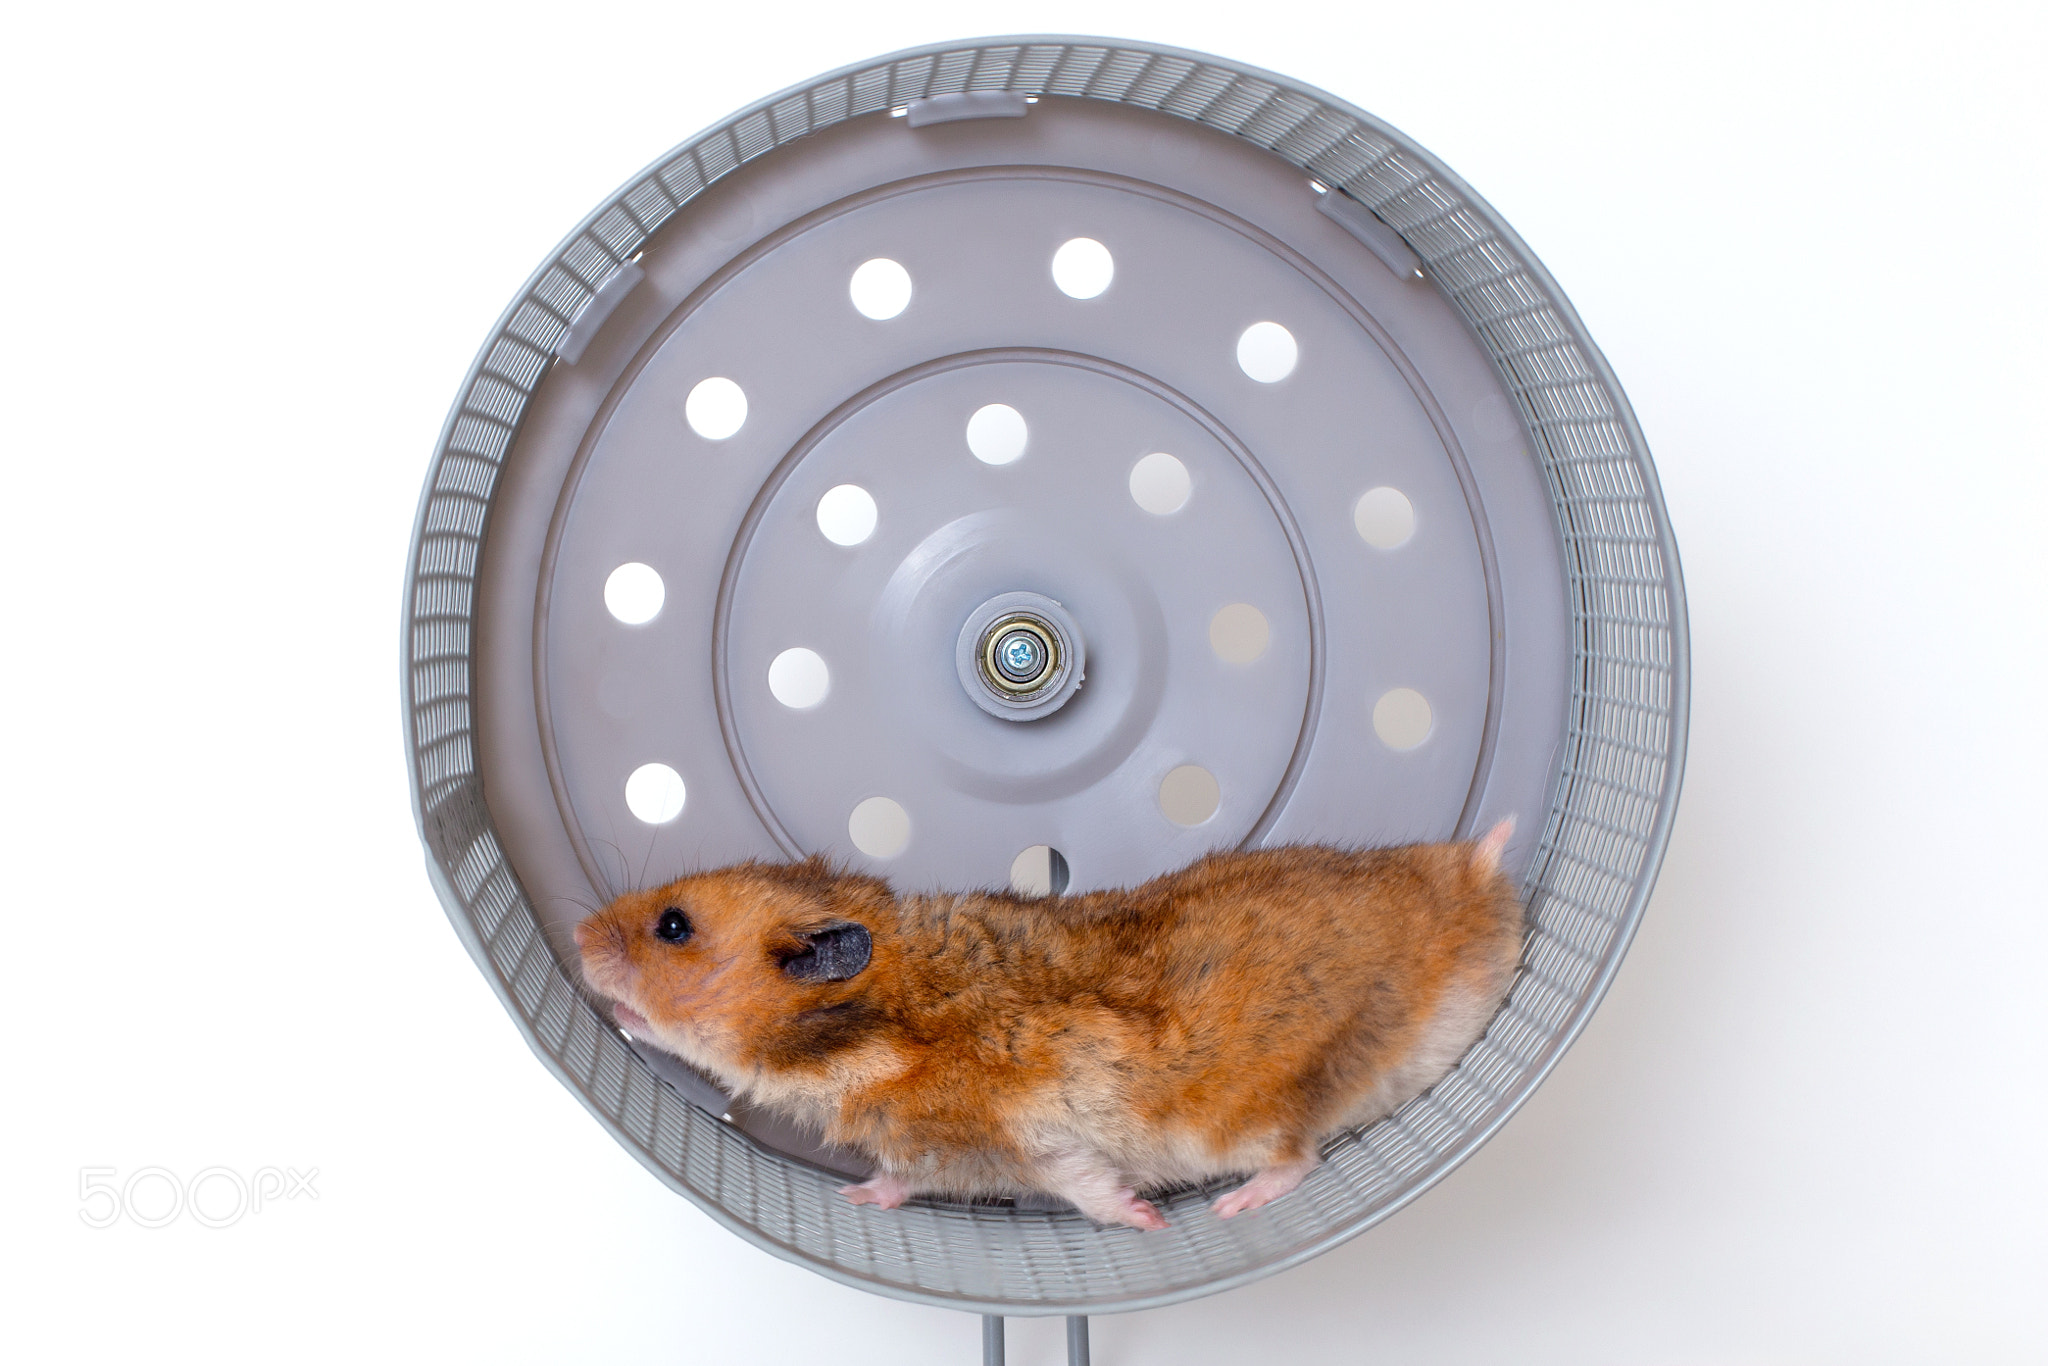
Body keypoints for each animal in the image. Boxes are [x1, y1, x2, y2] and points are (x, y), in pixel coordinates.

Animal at [573, 820, 1522, 1229]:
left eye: (673, 926)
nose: (576, 936)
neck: (877, 1024)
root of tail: (1486, 915)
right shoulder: (964, 1152)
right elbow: (917, 1180)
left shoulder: (1016, 1142)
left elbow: (1079, 1189)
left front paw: (1147, 1224)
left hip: (1250, 1117)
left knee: (1296, 1159)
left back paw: (1227, 1211)